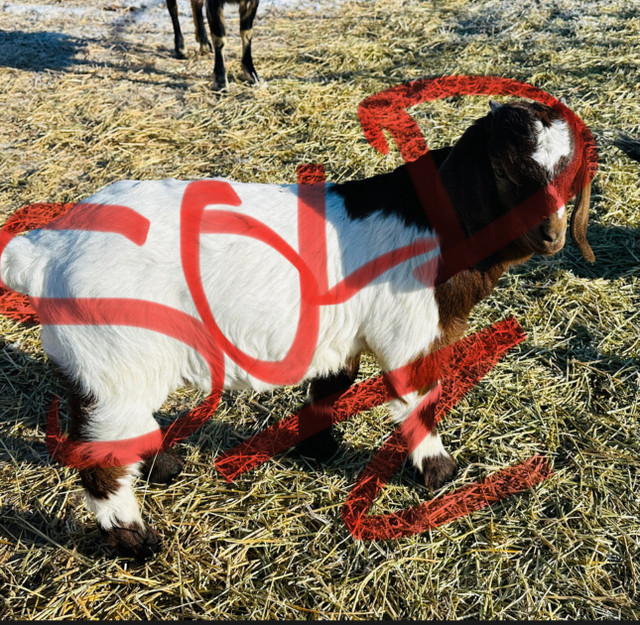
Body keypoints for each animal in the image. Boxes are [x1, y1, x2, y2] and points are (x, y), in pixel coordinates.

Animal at [0, 100, 592, 560]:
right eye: (505, 171)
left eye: (571, 174)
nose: (551, 235)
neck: (441, 229)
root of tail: (44, 250)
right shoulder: (408, 336)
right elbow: (418, 400)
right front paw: (439, 474)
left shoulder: (343, 334)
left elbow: (332, 383)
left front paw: (317, 447)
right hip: (116, 357)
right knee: (102, 459)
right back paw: (136, 543)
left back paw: (162, 464)